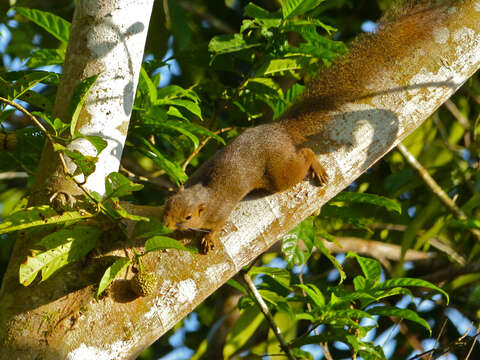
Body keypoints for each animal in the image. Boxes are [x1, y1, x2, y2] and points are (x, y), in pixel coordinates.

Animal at [163, 1, 448, 253]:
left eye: (188, 217)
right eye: (167, 206)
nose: (166, 225)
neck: (203, 194)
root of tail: (279, 129)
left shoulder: (220, 210)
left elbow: (217, 225)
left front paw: (208, 237)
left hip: (278, 173)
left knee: (302, 158)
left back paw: (316, 165)